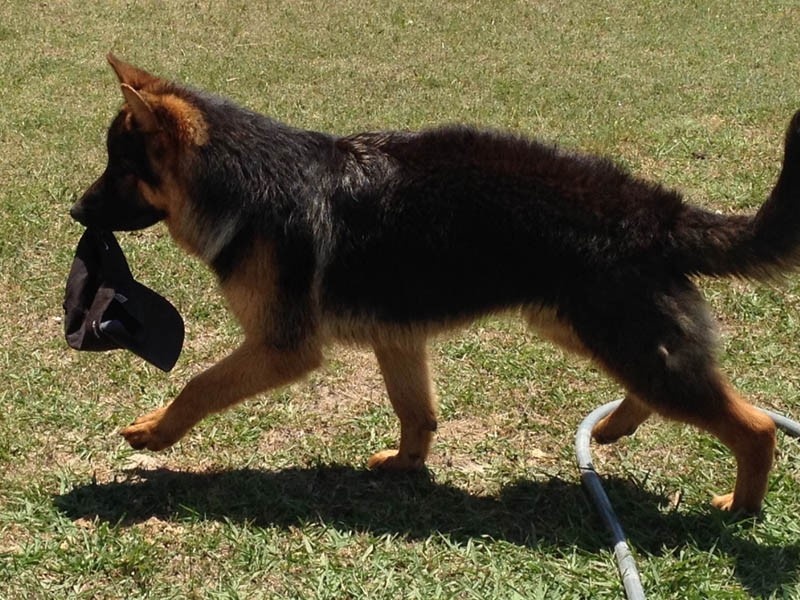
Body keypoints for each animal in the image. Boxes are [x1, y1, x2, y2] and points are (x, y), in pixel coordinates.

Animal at [70, 56, 800, 512]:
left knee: (753, 426)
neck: (242, 181)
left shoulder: (283, 348)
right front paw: (406, 464)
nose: (75, 212)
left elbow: (198, 384)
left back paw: (740, 506)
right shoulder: (397, 335)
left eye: (118, 169)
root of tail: (659, 212)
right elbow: (415, 410)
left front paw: (155, 431)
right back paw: (620, 424)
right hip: (576, 325)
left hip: (613, 335)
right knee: (667, 391)